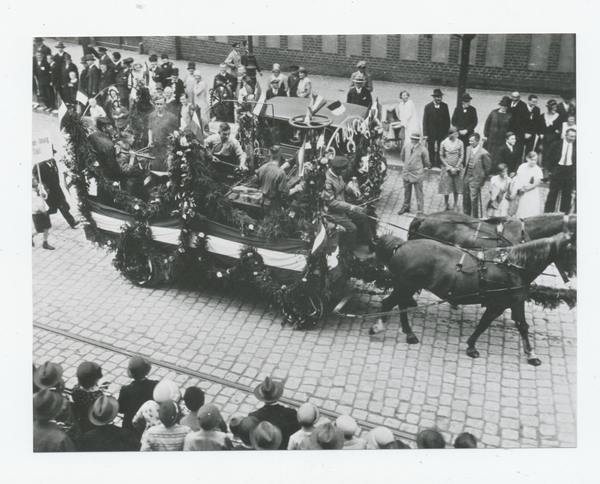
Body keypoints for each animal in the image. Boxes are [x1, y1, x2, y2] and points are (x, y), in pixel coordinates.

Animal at [370, 233, 576, 364]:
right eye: (571, 250)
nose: (574, 273)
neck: (512, 266)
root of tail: (401, 245)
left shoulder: (513, 302)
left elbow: (518, 326)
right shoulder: (500, 304)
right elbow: (491, 324)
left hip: (407, 287)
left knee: (401, 305)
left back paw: (409, 334)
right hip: (405, 285)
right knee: (389, 303)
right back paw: (378, 327)